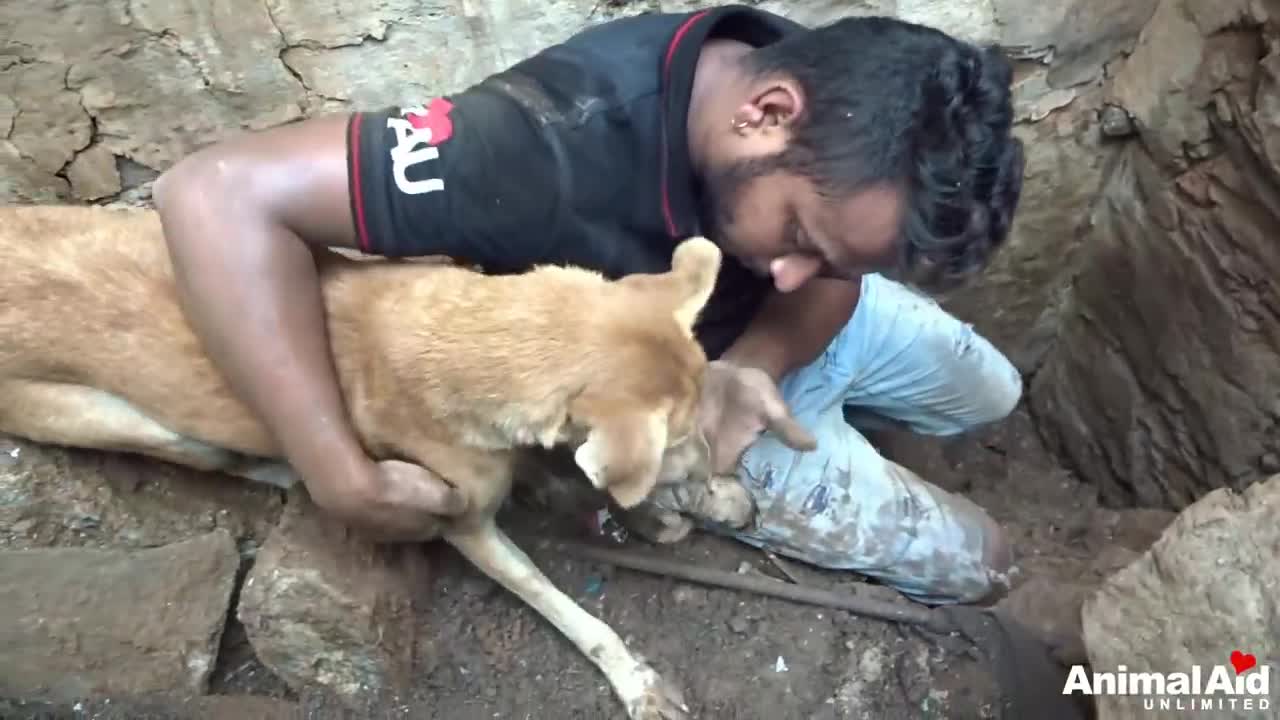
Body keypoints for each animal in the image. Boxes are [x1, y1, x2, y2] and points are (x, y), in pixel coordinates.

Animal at [0, 203, 757, 717]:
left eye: (697, 414)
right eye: (679, 433)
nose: (713, 464)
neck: (470, 333)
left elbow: (580, 473)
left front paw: (686, 506)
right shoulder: (470, 524)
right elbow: (563, 601)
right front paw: (634, 678)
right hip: (127, 422)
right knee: (219, 455)